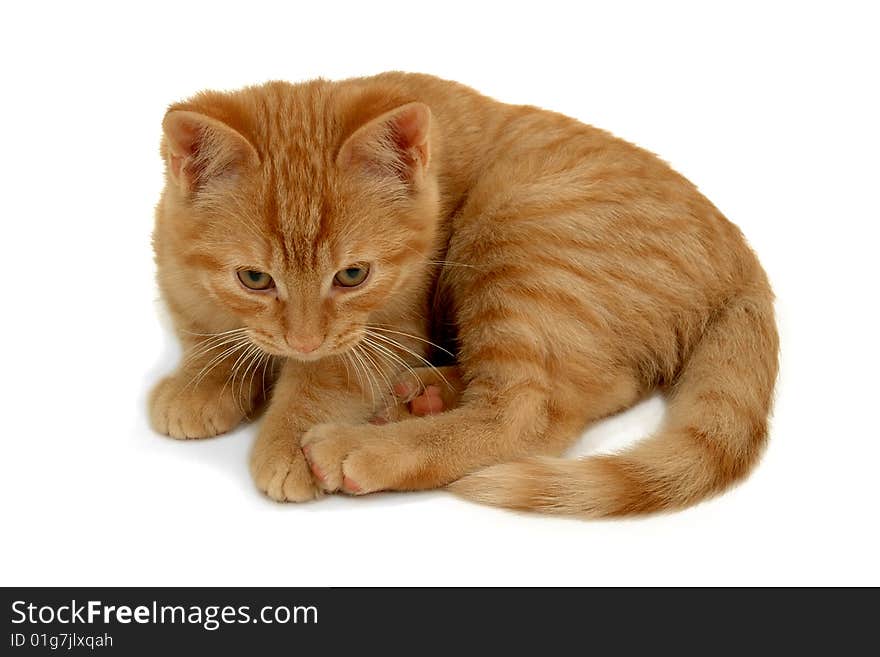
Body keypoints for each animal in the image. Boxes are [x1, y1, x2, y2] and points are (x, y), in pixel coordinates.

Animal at [150, 70, 776, 512]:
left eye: (353, 276)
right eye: (254, 279)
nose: (303, 342)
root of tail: (743, 258)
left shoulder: (388, 325)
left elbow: (328, 377)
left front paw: (287, 439)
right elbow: (208, 338)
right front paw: (199, 383)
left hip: (518, 236)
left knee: (528, 414)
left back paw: (365, 446)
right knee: (600, 385)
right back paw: (421, 394)